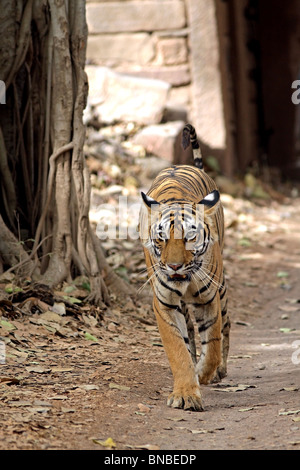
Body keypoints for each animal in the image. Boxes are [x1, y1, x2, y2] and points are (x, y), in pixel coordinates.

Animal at [139, 123, 231, 410]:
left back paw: (220, 370)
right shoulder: (165, 303)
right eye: (161, 238)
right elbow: (177, 349)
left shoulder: (209, 299)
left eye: (190, 237)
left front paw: (204, 373)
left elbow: (212, 343)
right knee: (189, 333)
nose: (174, 266)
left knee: (226, 326)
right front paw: (186, 393)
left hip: (222, 288)